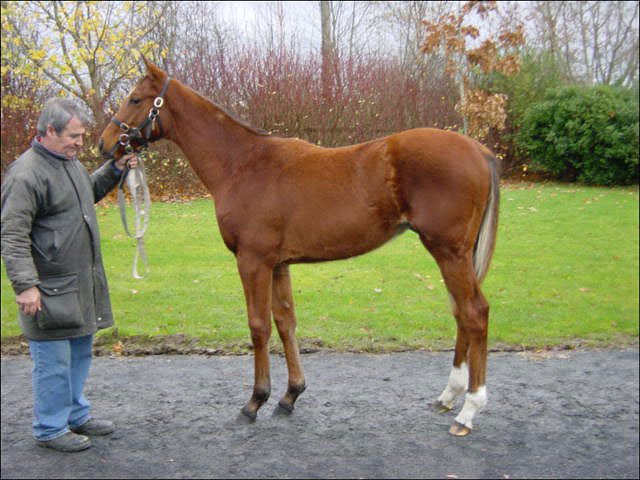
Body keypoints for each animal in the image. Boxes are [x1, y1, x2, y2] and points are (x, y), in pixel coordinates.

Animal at [99, 58, 500, 436]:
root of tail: (479, 150)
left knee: (475, 312)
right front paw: (290, 395)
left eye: (135, 99)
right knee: (461, 313)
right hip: (454, 255)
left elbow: (259, 325)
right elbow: (286, 322)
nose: (105, 143)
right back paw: (449, 396)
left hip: (448, 251)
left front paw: (254, 401)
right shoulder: (279, 264)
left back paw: (469, 410)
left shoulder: (253, 261)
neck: (242, 165)